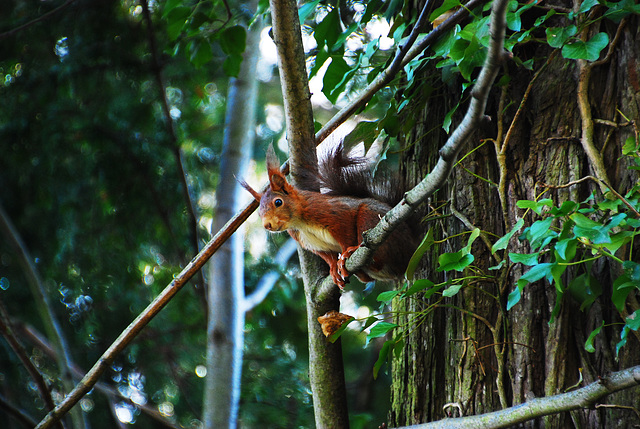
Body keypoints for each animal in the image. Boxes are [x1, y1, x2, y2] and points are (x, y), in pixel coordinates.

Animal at [242, 143, 418, 288]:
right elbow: (327, 256)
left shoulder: (333, 214)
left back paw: (355, 251)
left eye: (278, 202)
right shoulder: (309, 242)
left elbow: (346, 234)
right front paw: (333, 269)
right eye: (259, 213)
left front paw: (345, 253)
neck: (299, 222)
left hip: (371, 217)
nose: (267, 225)